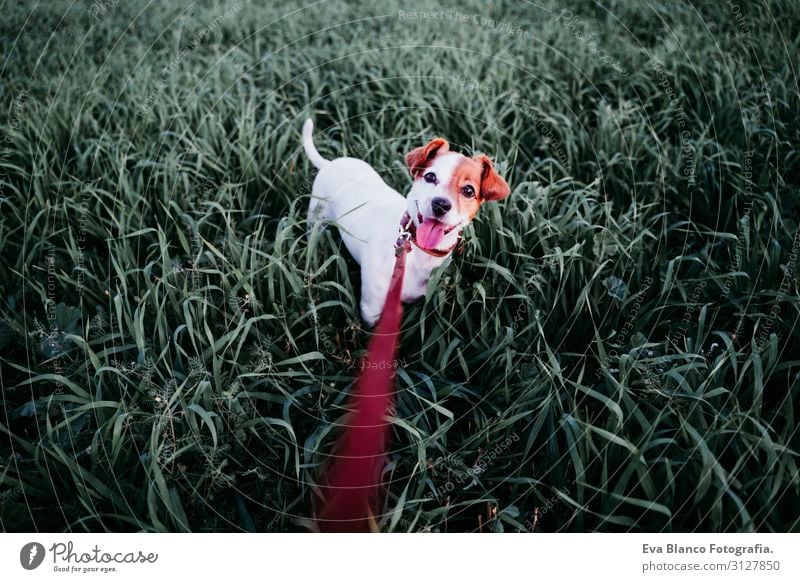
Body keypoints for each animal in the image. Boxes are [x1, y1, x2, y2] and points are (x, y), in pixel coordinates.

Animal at [304, 120, 510, 328]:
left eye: (468, 191)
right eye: (430, 177)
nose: (440, 204)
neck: (418, 252)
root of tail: (329, 164)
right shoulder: (372, 309)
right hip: (316, 220)